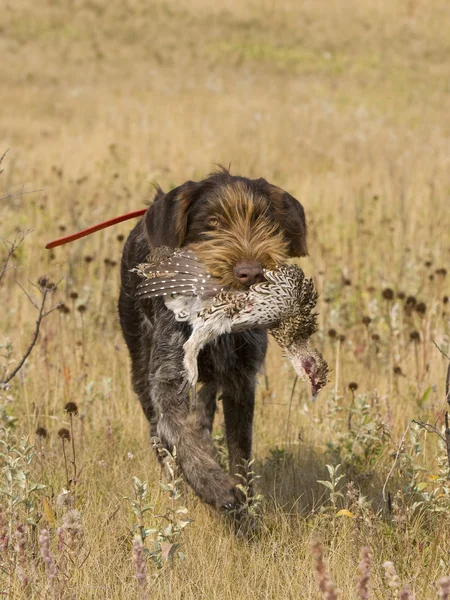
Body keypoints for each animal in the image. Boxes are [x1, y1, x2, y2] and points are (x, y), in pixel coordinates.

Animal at [118, 169, 310, 510]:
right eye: (213, 222)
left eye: (263, 220)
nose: (250, 273)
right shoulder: (168, 378)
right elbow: (176, 429)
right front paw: (211, 484)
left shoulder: (240, 381)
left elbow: (240, 453)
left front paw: (243, 501)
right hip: (139, 361)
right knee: (159, 431)